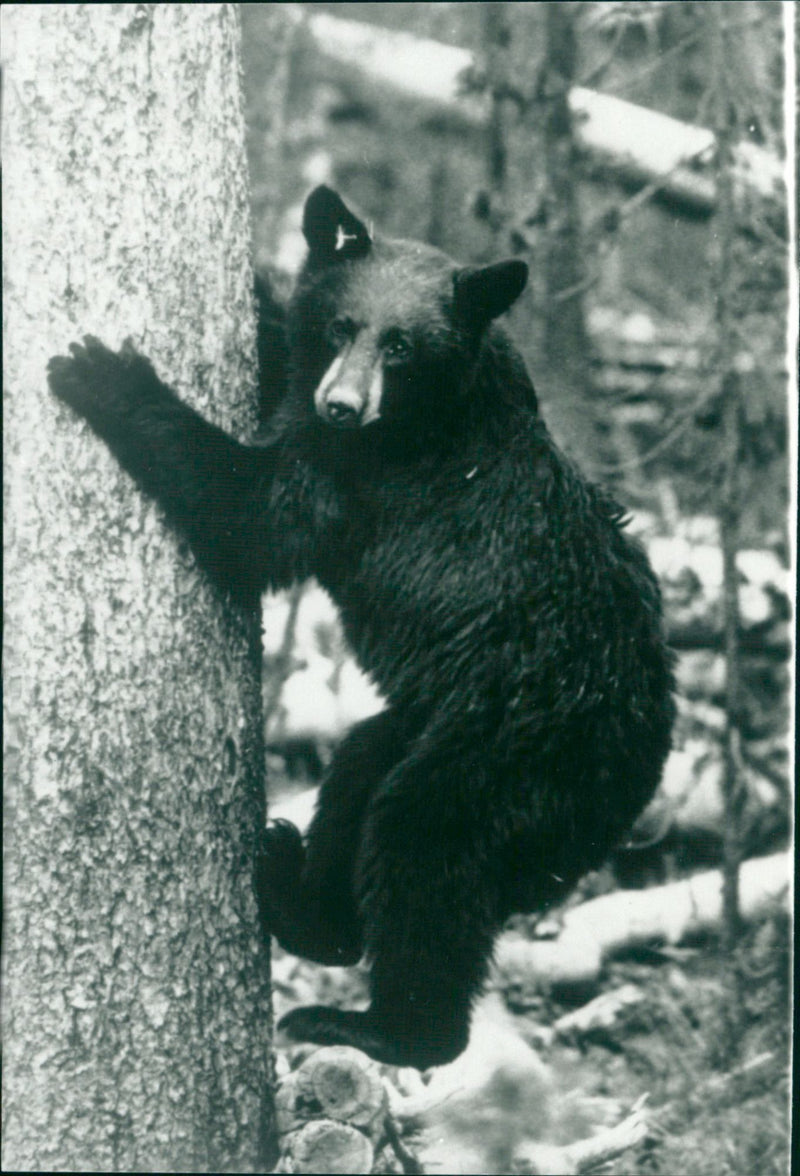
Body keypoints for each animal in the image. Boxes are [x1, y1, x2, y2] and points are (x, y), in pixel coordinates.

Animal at [48, 185, 675, 1069]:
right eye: (345, 326)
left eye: (402, 346)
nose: (342, 403)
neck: (433, 405)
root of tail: (639, 777)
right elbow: (283, 353)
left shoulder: (365, 480)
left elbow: (250, 514)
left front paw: (103, 372)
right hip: (432, 725)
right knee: (358, 771)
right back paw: (298, 890)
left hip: (515, 756)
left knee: (424, 847)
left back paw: (379, 1025)